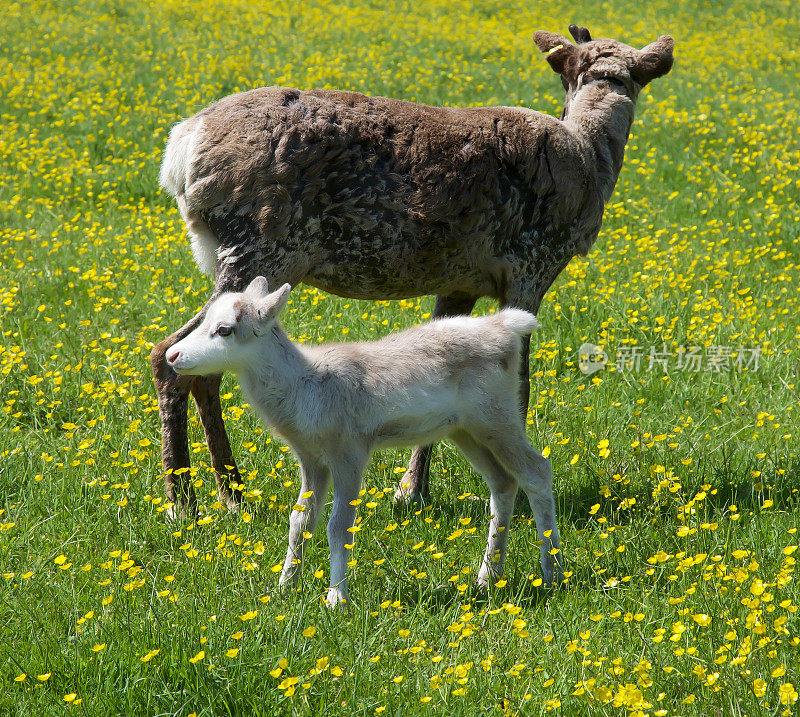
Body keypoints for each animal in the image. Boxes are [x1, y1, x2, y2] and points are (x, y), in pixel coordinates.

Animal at [166, 276, 560, 604]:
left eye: (225, 329)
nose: (172, 355)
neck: (307, 387)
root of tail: (505, 325)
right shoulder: (310, 457)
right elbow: (299, 521)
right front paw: (284, 588)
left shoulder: (349, 450)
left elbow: (339, 525)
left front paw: (336, 600)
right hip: (465, 429)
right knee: (503, 482)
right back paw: (488, 577)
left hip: (498, 415)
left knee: (537, 471)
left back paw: (552, 574)